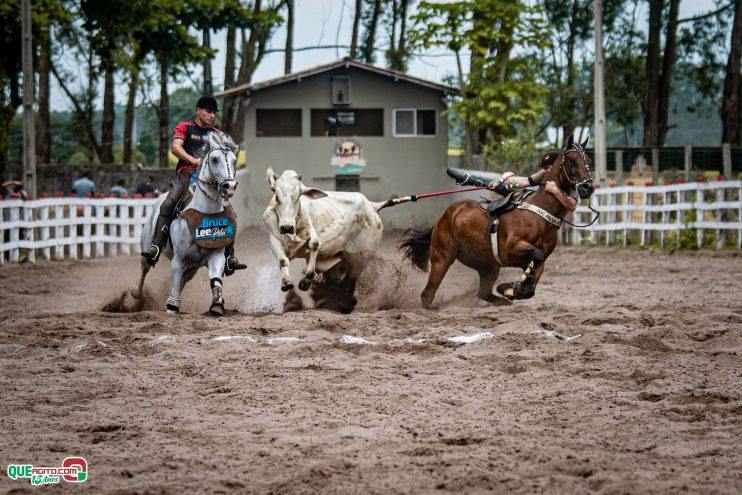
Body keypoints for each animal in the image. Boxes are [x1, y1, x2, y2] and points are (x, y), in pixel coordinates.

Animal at [132, 132, 238, 316]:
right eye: (215, 159)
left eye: (234, 160)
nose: (229, 186)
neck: (204, 215)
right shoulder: (178, 261)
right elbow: (174, 293)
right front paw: (172, 307)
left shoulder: (215, 257)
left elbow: (215, 279)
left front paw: (217, 304)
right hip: (147, 248)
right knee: (145, 268)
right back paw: (137, 295)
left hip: (192, 269)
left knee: (182, 281)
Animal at [402, 134, 600, 308]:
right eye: (572, 160)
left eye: (588, 161)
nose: (588, 187)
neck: (540, 215)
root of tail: (444, 217)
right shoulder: (510, 249)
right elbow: (535, 255)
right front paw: (515, 287)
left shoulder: (536, 260)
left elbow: (533, 280)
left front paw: (512, 289)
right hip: (442, 258)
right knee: (427, 294)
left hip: (487, 266)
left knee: (483, 292)